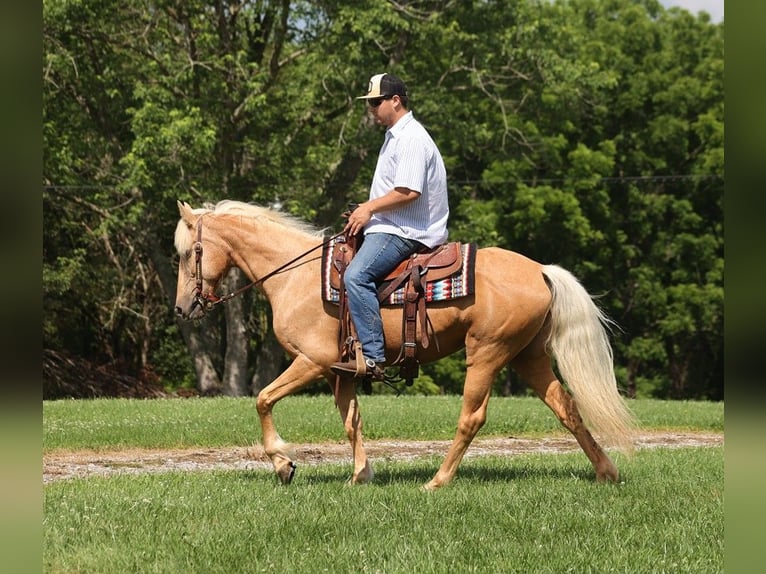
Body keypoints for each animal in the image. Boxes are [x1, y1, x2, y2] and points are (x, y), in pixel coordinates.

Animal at [173, 199, 635, 489]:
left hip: (487, 353)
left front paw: (284, 465)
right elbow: (352, 421)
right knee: (567, 408)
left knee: (472, 418)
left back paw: (437, 481)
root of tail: (540, 270)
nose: (181, 308)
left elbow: (263, 399)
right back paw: (606, 473)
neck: (295, 277)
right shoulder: (341, 371)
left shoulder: (313, 362)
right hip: (528, 356)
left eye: (188, 253)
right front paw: (360, 475)